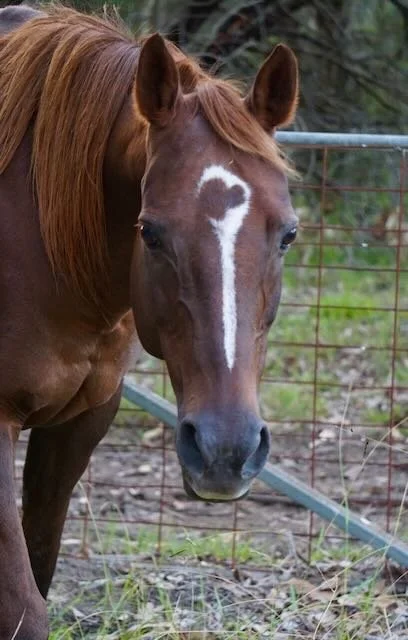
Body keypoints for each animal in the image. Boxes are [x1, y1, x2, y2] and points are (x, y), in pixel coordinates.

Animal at [0, 4, 298, 637]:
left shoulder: (82, 422)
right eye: (151, 232)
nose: (225, 449)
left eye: (288, 233)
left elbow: (39, 567)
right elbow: (24, 608)